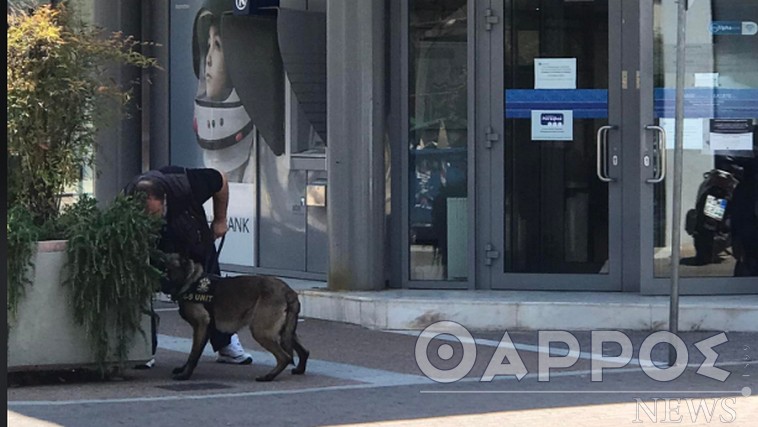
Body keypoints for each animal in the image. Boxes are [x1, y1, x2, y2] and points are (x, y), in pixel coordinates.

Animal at [165, 254, 310, 382]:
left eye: (165, 268)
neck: (191, 280)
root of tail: (288, 291)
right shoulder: (204, 329)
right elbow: (194, 352)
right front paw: (183, 369)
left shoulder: (201, 326)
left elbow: (194, 354)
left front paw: (185, 375)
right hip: (285, 332)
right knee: (304, 351)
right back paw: (299, 369)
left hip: (261, 331)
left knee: (285, 357)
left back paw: (268, 377)